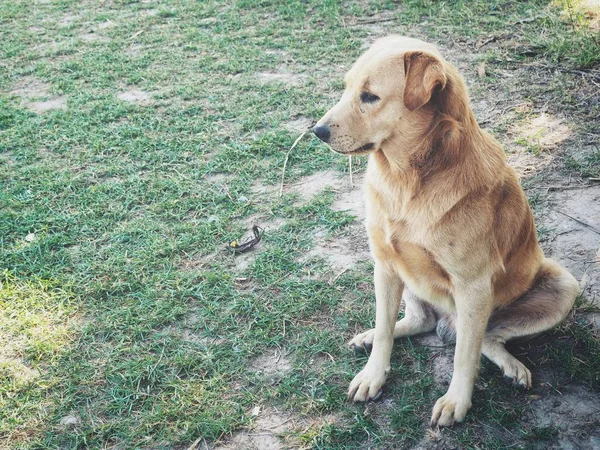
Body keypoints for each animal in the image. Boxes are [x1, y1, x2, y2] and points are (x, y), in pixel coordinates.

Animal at [312, 37, 580, 428]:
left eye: (370, 96)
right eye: (347, 88)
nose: (317, 131)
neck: (407, 179)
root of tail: (446, 324)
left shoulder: (474, 286)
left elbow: (464, 356)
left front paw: (457, 402)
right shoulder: (385, 264)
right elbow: (384, 331)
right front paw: (373, 374)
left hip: (560, 287)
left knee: (485, 339)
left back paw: (510, 367)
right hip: (407, 281)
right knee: (416, 321)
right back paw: (372, 335)